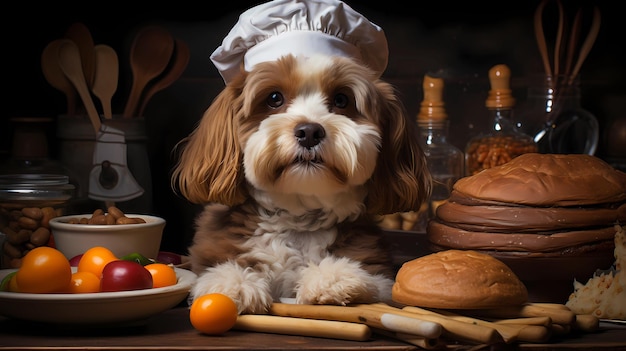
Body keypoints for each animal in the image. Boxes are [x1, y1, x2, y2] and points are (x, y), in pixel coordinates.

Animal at [169, 0, 428, 314]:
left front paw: (334, 278)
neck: (297, 220)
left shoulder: (379, 273)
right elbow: (216, 273)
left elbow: (371, 284)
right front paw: (235, 283)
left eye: (341, 100)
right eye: (274, 98)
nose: (309, 132)